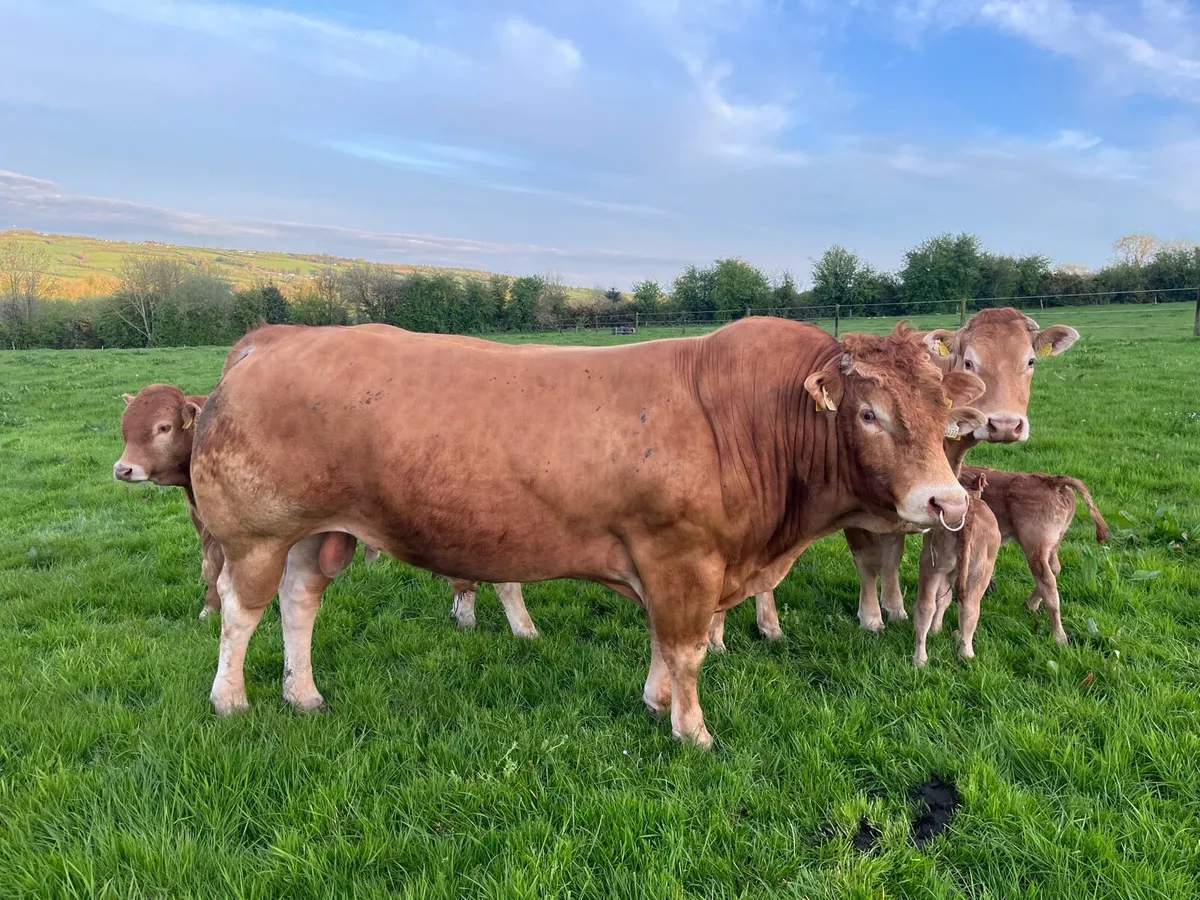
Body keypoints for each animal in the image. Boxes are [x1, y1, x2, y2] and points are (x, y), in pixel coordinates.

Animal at [191, 318, 986, 748]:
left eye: (945, 409)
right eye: (869, 415)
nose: (945, 500)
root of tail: (268, 343)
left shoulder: (674, 565)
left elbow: (665, 644)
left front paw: (657, 702)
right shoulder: (681, 556)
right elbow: (687, 648)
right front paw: (692, 731)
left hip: (317, 534)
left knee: (299, 602)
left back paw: (302, 694)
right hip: (256, 532)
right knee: (240, 612)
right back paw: (230, 701)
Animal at [912, 469, 1001, 666]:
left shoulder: (948, 572)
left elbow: (943, 599)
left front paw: (935, 630)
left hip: (937, 566)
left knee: (934, 606)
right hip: (973, 570)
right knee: (965, 608)